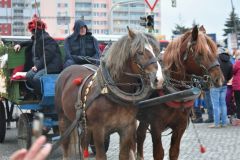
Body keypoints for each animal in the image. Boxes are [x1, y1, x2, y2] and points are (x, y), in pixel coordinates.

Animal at [54, 28, 164, 159]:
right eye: (140, 52)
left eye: (155, 51)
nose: (159, 79)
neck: (112, 93)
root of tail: (68, 70)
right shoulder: (98, 130)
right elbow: (101, 156)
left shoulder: (127, 128)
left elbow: (123, 155)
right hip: (64, 119)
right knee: (66, 145)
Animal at [137, 25, 225, 159]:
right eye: (200, 53)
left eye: (215, 52)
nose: (219, 79)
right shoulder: (155, 125)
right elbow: (158, 153)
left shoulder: (180, 126)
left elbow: (174, 152)